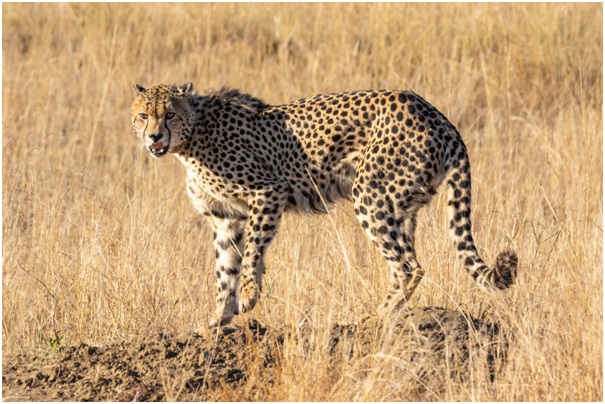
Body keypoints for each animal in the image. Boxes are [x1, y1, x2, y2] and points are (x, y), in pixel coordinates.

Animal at [130, 83, 516, 328]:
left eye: (169, 115)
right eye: (143, 116)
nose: (154, 136)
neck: (191, 138)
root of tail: (436, 114)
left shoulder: (268, 192)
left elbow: (252, 251)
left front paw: (249, 294)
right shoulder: (226, 218)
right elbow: (225, 268)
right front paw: (218, 318)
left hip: (370, 194)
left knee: (410, 266)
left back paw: (376, 318)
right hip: (401, 205)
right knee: (405, 264)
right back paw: (389, 314)